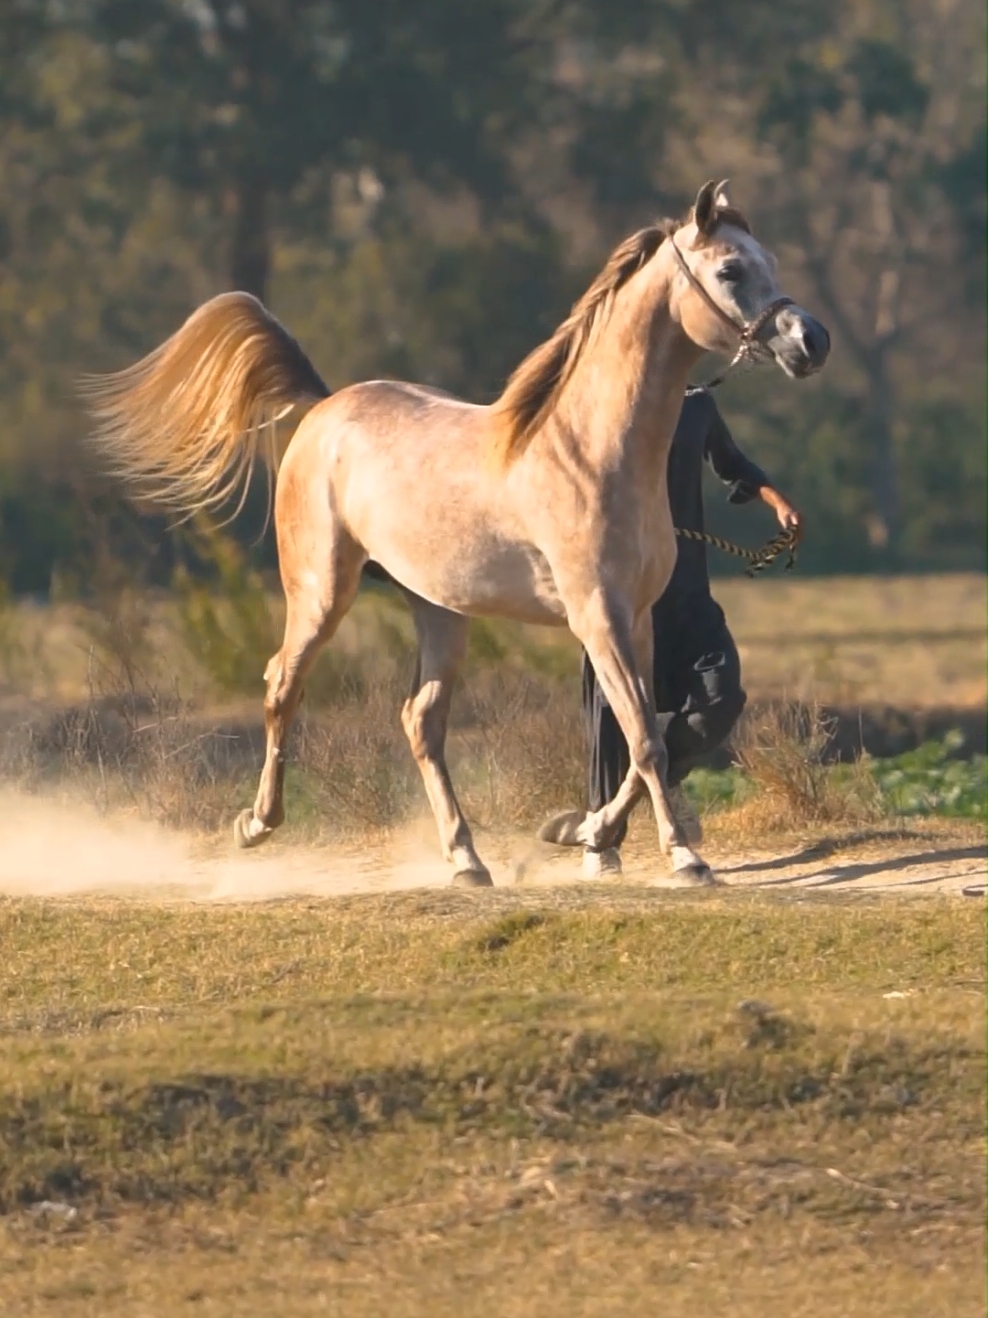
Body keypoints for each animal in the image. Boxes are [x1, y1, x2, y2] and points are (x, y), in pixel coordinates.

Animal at [83, 180, 827, 890]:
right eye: (730, 269)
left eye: (769, 260)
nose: (811, 340)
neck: (589, 449)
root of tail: (324, 408)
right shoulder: (599, 619)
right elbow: (646, 738)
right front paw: (683, 858)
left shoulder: (636, 620)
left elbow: (650, 738)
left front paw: (587, 832)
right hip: (322, 594)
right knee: (281, 686)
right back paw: (258, 824)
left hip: (439, 610)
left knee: (421, 720)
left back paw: (467, 860)